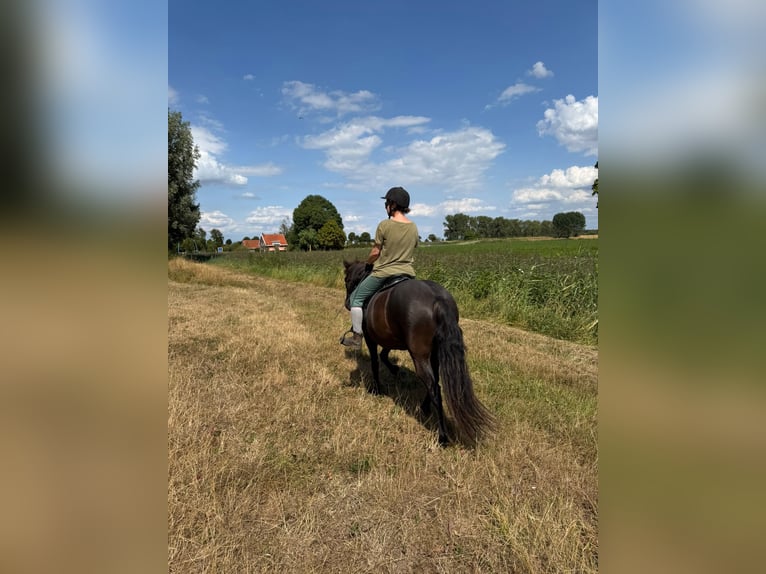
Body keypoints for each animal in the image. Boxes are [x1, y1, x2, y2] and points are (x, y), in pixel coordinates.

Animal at [342, 260, 495, 446]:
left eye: (347, 279)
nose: (347, 303)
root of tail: (437, 300)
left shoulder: (372, 338)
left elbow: (375, 363)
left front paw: (377, 389)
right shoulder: (391, 338)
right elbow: (384, 355)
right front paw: (394, 369)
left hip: (419, 356)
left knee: (434, 387)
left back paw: (442, 436)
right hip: (434, 354)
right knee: (435, 381)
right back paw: (425, 407)